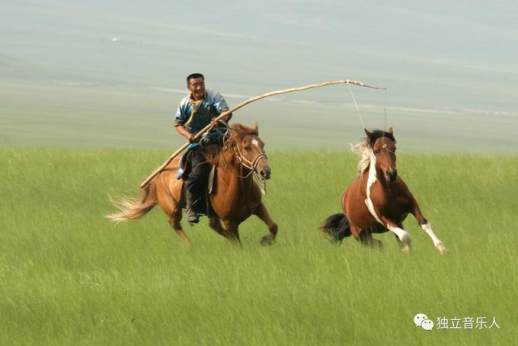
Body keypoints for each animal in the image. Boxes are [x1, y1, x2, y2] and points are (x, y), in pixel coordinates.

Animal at [108, 122, 280, 246]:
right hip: (172, 208)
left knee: (213, 226)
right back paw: (190, 246)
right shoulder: (230, 222)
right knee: (175, 224)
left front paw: (265, 241)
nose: (265, 171)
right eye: (247, 147)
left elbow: (273, 226)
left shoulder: (257, 207)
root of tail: (158, 175)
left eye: (262, 144)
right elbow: (237, 243)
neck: (236, 187)